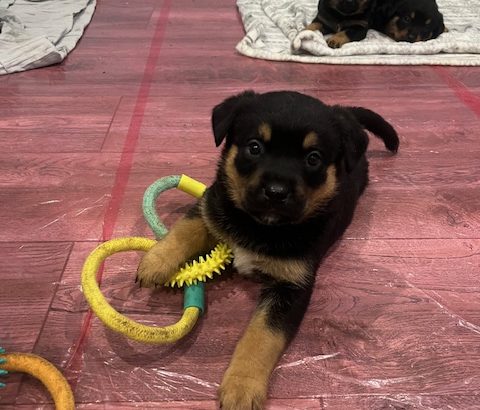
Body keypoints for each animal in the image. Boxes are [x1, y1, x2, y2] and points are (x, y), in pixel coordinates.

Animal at [136, 90, 398, 410]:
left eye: (313, 158)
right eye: (254, 147)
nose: (276, 192)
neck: (262, 225)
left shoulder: (291, 287)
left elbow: (262, 336)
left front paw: (241, 387)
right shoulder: (212, 205)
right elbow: (184, 230)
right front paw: (155, 262)